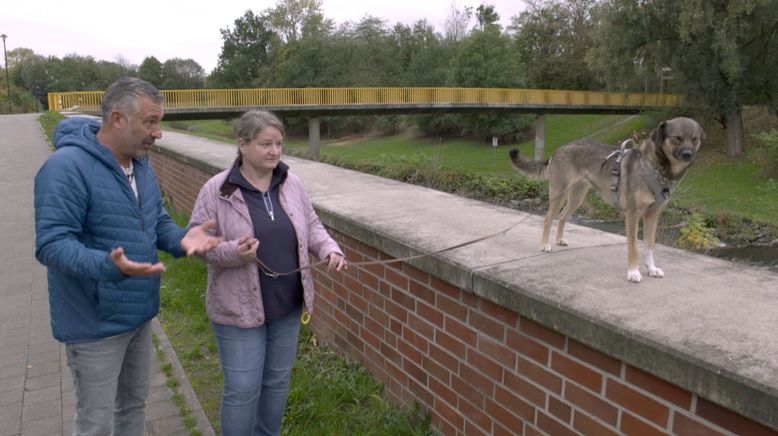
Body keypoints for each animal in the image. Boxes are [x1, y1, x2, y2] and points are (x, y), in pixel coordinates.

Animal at [510, 117, 704, 284]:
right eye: (677, 138)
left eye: (695, 139)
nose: (688, 154)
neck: (655, 168)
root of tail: (558, 150)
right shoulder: (633, 215)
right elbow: (634, 246)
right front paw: (633, 272)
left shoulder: (653, 215)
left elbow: (649, 245)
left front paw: (651, 268)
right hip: (559, 194)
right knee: (548, 219)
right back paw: (545, 245)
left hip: (577, 197)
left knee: (563, 216)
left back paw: (560, 239)